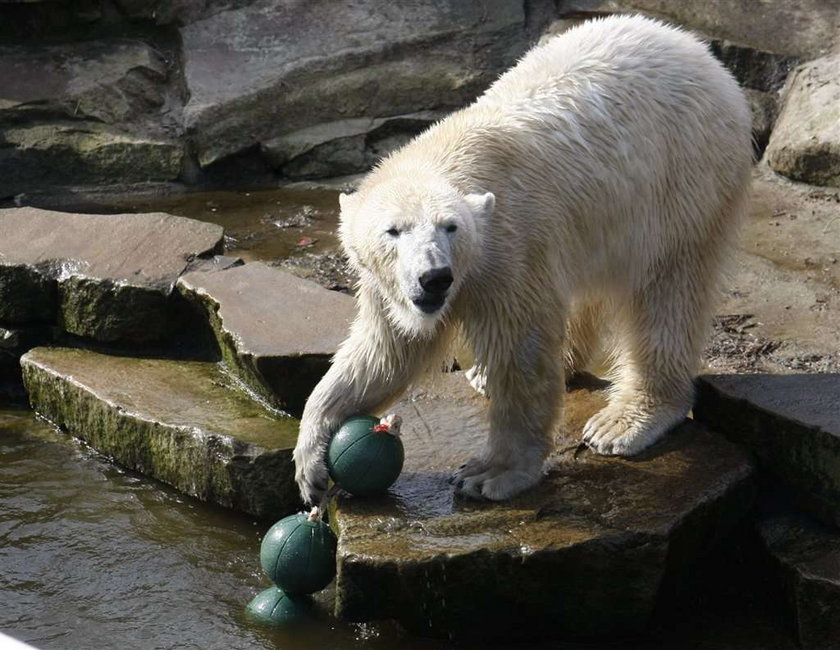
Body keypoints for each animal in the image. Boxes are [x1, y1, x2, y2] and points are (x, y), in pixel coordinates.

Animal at [292, 13, 752, 502]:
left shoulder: (512, 244)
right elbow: (386, 350)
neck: (453, 153)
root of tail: (697, 51)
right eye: (393, 230)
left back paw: (626, 420)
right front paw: (311, 459)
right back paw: (510, 370)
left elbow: (521, 350)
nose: (434, 278)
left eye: (450, 227)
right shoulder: (390, 286)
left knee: (668, 292)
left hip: (683, 181)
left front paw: (489, 473)